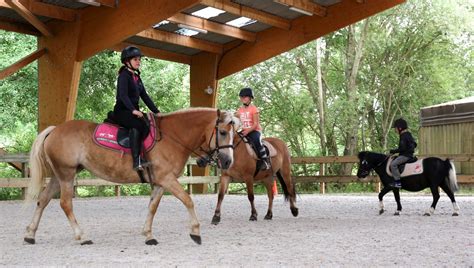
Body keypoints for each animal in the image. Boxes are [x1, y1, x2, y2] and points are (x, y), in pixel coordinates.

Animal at [24, 108, 237, 245]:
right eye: (222, 132)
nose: (227, 162)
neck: (172, 137)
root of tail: (54, 130)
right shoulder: (167, 179)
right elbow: (188, 200)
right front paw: (195, 232)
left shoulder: (160, 182)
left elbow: (152, 207)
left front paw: (148, 235)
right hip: (67, 175)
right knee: (65, 204)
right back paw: (82, 236)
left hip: (59, 176)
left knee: (43, 200)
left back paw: (30, 234)